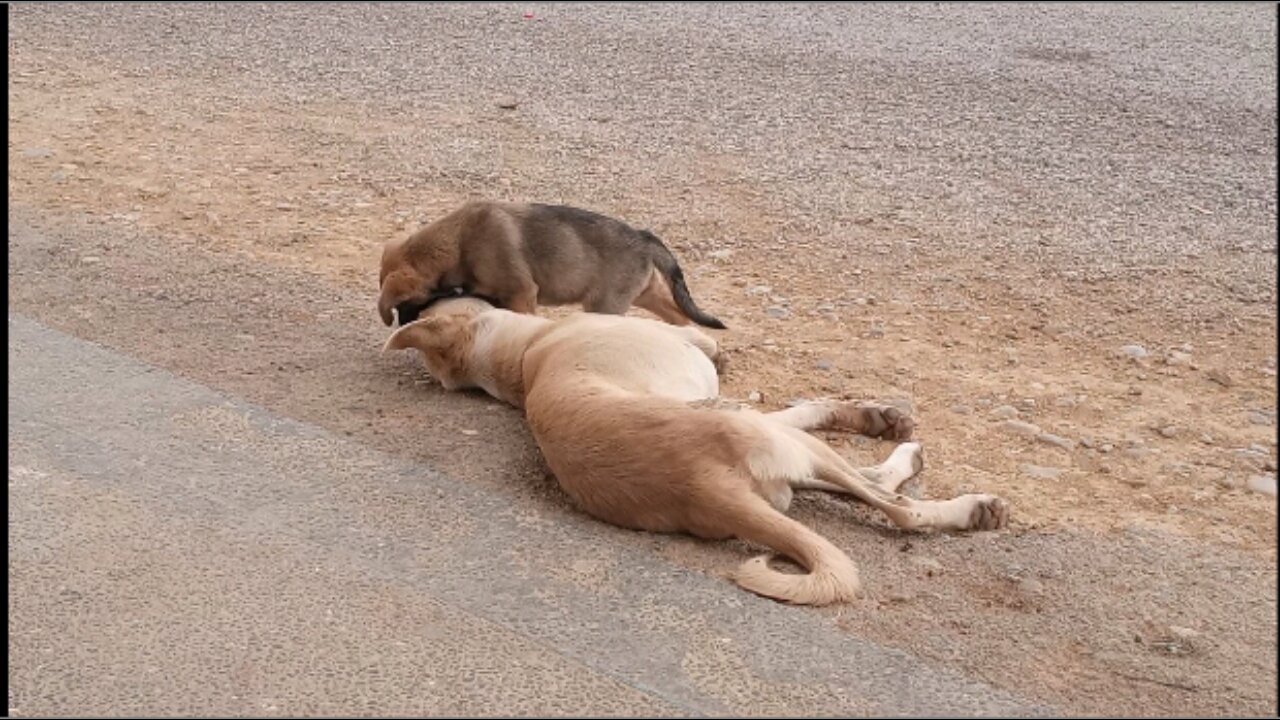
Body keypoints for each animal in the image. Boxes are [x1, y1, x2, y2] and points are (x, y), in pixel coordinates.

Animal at [373, 198, 727, 327]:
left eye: (403, 303)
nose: (401, 326)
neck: (459, 243)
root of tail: (644, 237)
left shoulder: (522, 294)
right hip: (644, 294)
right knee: (682, 320)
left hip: (605, 305)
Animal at [381, 294, 1008, 602]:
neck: (524, 356)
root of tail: (705, 487)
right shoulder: (704, 369)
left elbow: (808, 403)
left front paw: (873, 415)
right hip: (773, 440)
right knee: (897, 507)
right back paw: (962, 500)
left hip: (767, 451)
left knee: (870, 490)